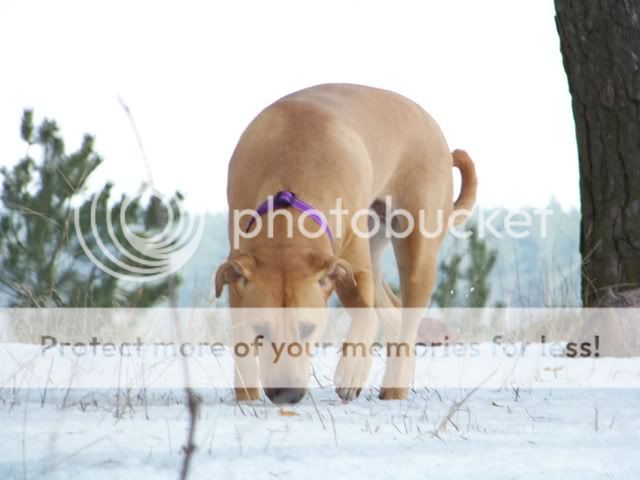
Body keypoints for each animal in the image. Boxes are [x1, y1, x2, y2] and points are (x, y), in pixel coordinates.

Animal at [215, 83, 476, 404]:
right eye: (261, 328)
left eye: (308, 329)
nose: (286, 394)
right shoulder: (238, 269)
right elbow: (241, 338)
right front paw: (246, 394)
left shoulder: (350, 265)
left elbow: (365, 316)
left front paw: (351, 372)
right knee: (392, 308)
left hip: (417, 246)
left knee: (407, 313)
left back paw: (395, 385)